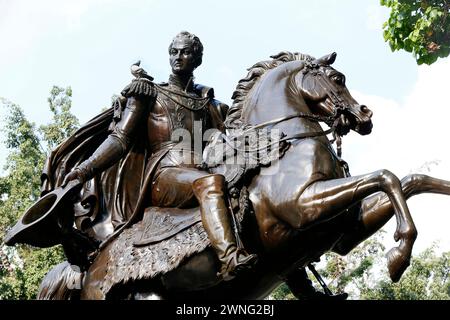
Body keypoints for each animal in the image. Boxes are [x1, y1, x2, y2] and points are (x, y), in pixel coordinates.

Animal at [43, 51, 450, 298]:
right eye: (337, 77)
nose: (364, 116)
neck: (286, 144)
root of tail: (86, 269)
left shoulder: (342, 233)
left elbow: (408, 180)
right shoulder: (304, 206)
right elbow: (385, 176)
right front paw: (398, 256)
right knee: (208, 183)